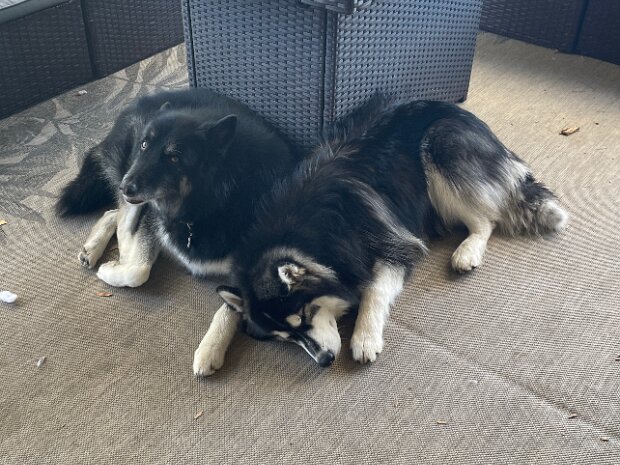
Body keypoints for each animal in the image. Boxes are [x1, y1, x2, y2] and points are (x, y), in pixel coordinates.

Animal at [56, 88, 298, 289]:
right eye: (144, 145)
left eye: (173, 158)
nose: (125, 187)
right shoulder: (150, 217)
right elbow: (137, 270)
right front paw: (114, 267)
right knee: (118, 214)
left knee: (113, 213)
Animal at [192, 95, 568, 376]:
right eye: (286, 337)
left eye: (308, 315)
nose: (324, 361)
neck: (307, 232)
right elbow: (227, 306)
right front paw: (208, 347)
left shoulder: (395, 243)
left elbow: (374, 289)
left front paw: (364, 338)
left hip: (440, 147)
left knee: (486, 219)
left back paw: (467, 251)